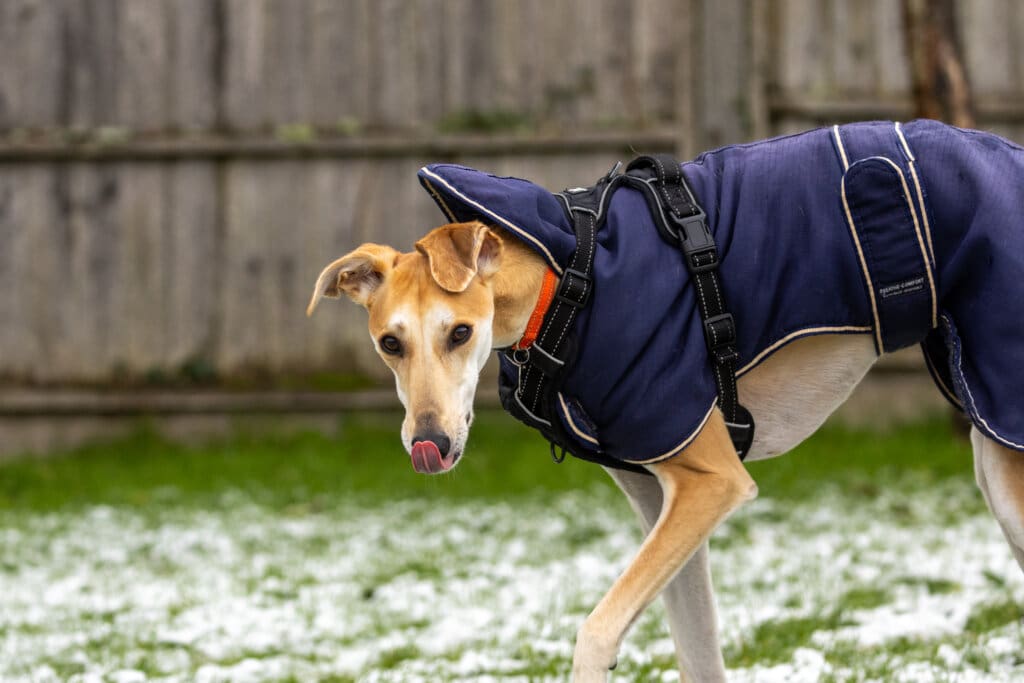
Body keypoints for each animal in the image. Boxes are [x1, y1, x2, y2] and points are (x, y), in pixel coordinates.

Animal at [307, 120, 1024, 682]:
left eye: (459, 332)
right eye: (390, 343)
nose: (429, 444)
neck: (562, 280)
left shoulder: (710, 480)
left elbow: (596, 632)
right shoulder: (661, 500)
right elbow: (699, 651)